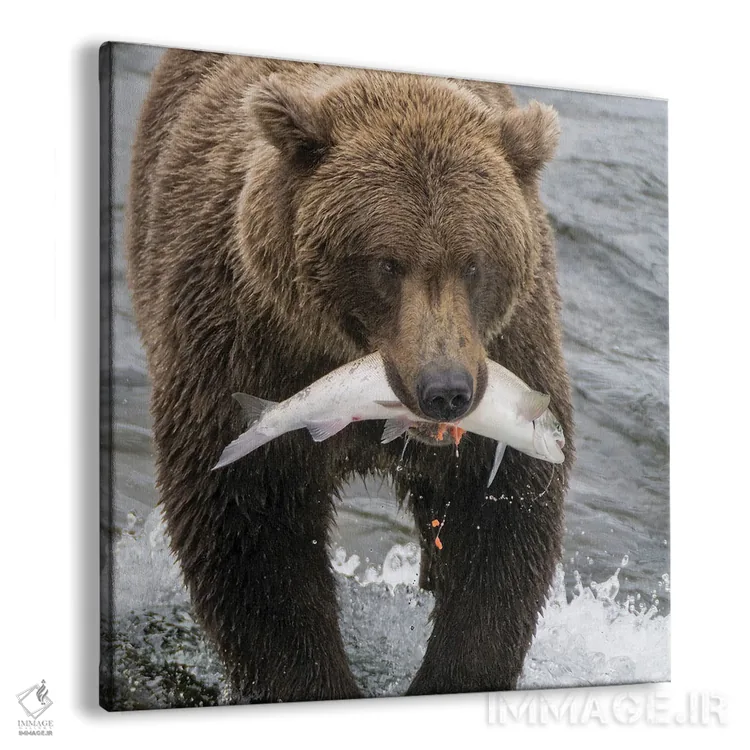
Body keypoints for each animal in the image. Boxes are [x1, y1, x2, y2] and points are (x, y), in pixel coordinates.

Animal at [126, 48, 574, 702]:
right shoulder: (238, 341)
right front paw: (314, 680)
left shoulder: (514, 349)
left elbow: (502, 527)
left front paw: (449, 673)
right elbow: (250, 540)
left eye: (474, 263)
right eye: (387, 263)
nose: (445, 391)